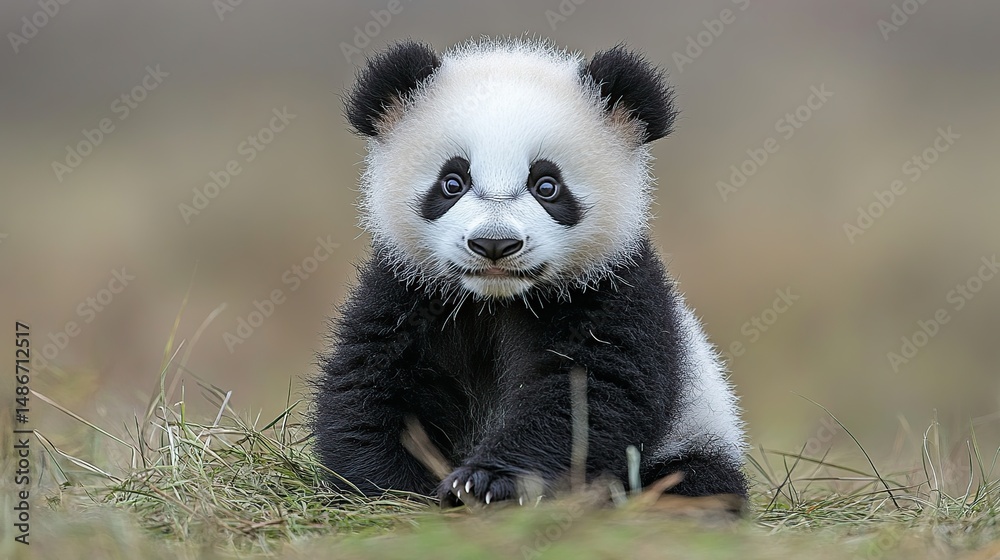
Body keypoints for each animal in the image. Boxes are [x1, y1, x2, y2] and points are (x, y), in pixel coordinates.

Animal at [313, 37, 747, 506]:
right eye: (452, 182)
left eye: (547, 186)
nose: (494, 244)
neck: (495, 301)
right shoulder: (407, 290)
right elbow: (368, 386)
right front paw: (393, 491)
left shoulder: (613, 291)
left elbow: (584, 398)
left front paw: (484, 483)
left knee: (695, 483)